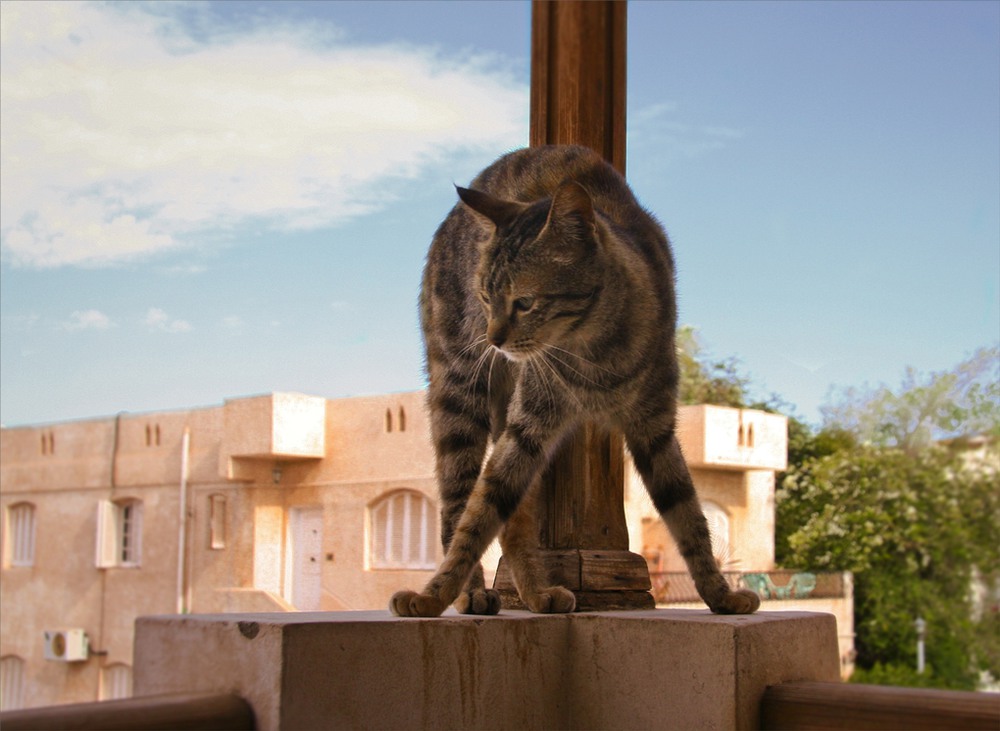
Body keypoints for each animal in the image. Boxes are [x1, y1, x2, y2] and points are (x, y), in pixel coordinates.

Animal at [390, 144, 756, 616]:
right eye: (486, 298)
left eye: (524, 303)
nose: (492, 339)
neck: (595, 358)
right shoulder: (529, 423)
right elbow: (478, 515)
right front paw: (435, 594)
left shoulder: (654, 429)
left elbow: (690, 516)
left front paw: (718, 593)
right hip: (460, 395)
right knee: (458, 505)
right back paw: (471, 593)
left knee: (514, 518)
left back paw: (536, 595)